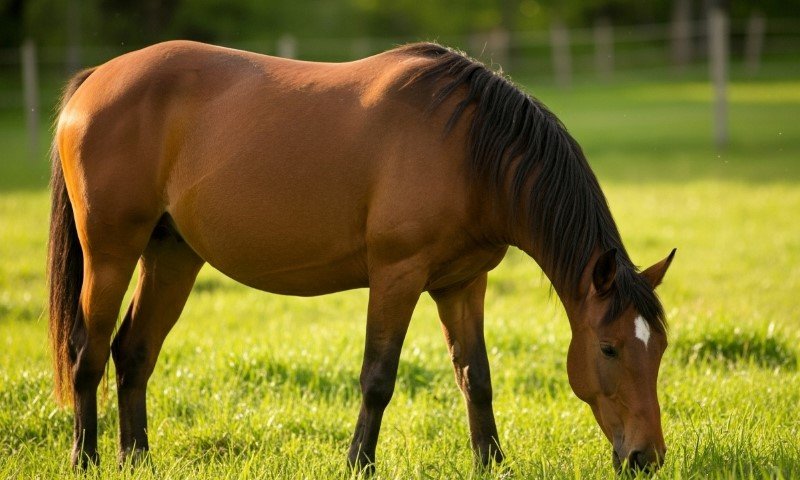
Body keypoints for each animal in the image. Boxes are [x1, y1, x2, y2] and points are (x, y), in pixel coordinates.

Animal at [48, 40, 675, 473]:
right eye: (609, 348)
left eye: (661, 349)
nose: (646, 458)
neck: (469, 152)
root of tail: (95, 81)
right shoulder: (397, 276)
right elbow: (378, 377)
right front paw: (359, 463)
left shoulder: (462, 284)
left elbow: (476, 377)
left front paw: (492, 463)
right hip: (110, 252)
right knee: (87, 352)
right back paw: (86, 459)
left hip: (172, 255)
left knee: (134, 352)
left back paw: (137, 459)